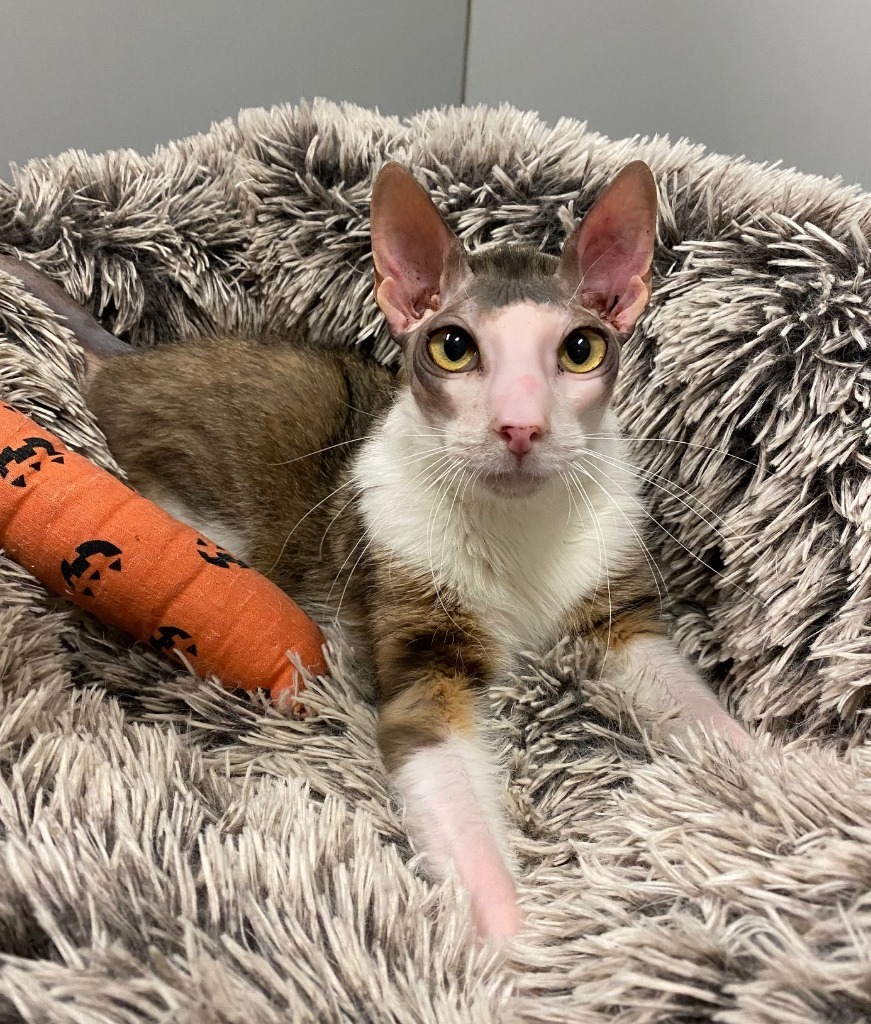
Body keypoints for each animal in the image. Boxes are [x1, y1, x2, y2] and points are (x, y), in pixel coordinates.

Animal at [0, 161, 749, 942]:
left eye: (581, 349)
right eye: (453, 346)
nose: (519, 428)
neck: (517, 531)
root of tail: (133, 358)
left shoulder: (615, 611)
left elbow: (693, 704)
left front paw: (771, 778)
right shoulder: (414, 626)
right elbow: (430, 747)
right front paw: (518, 947)